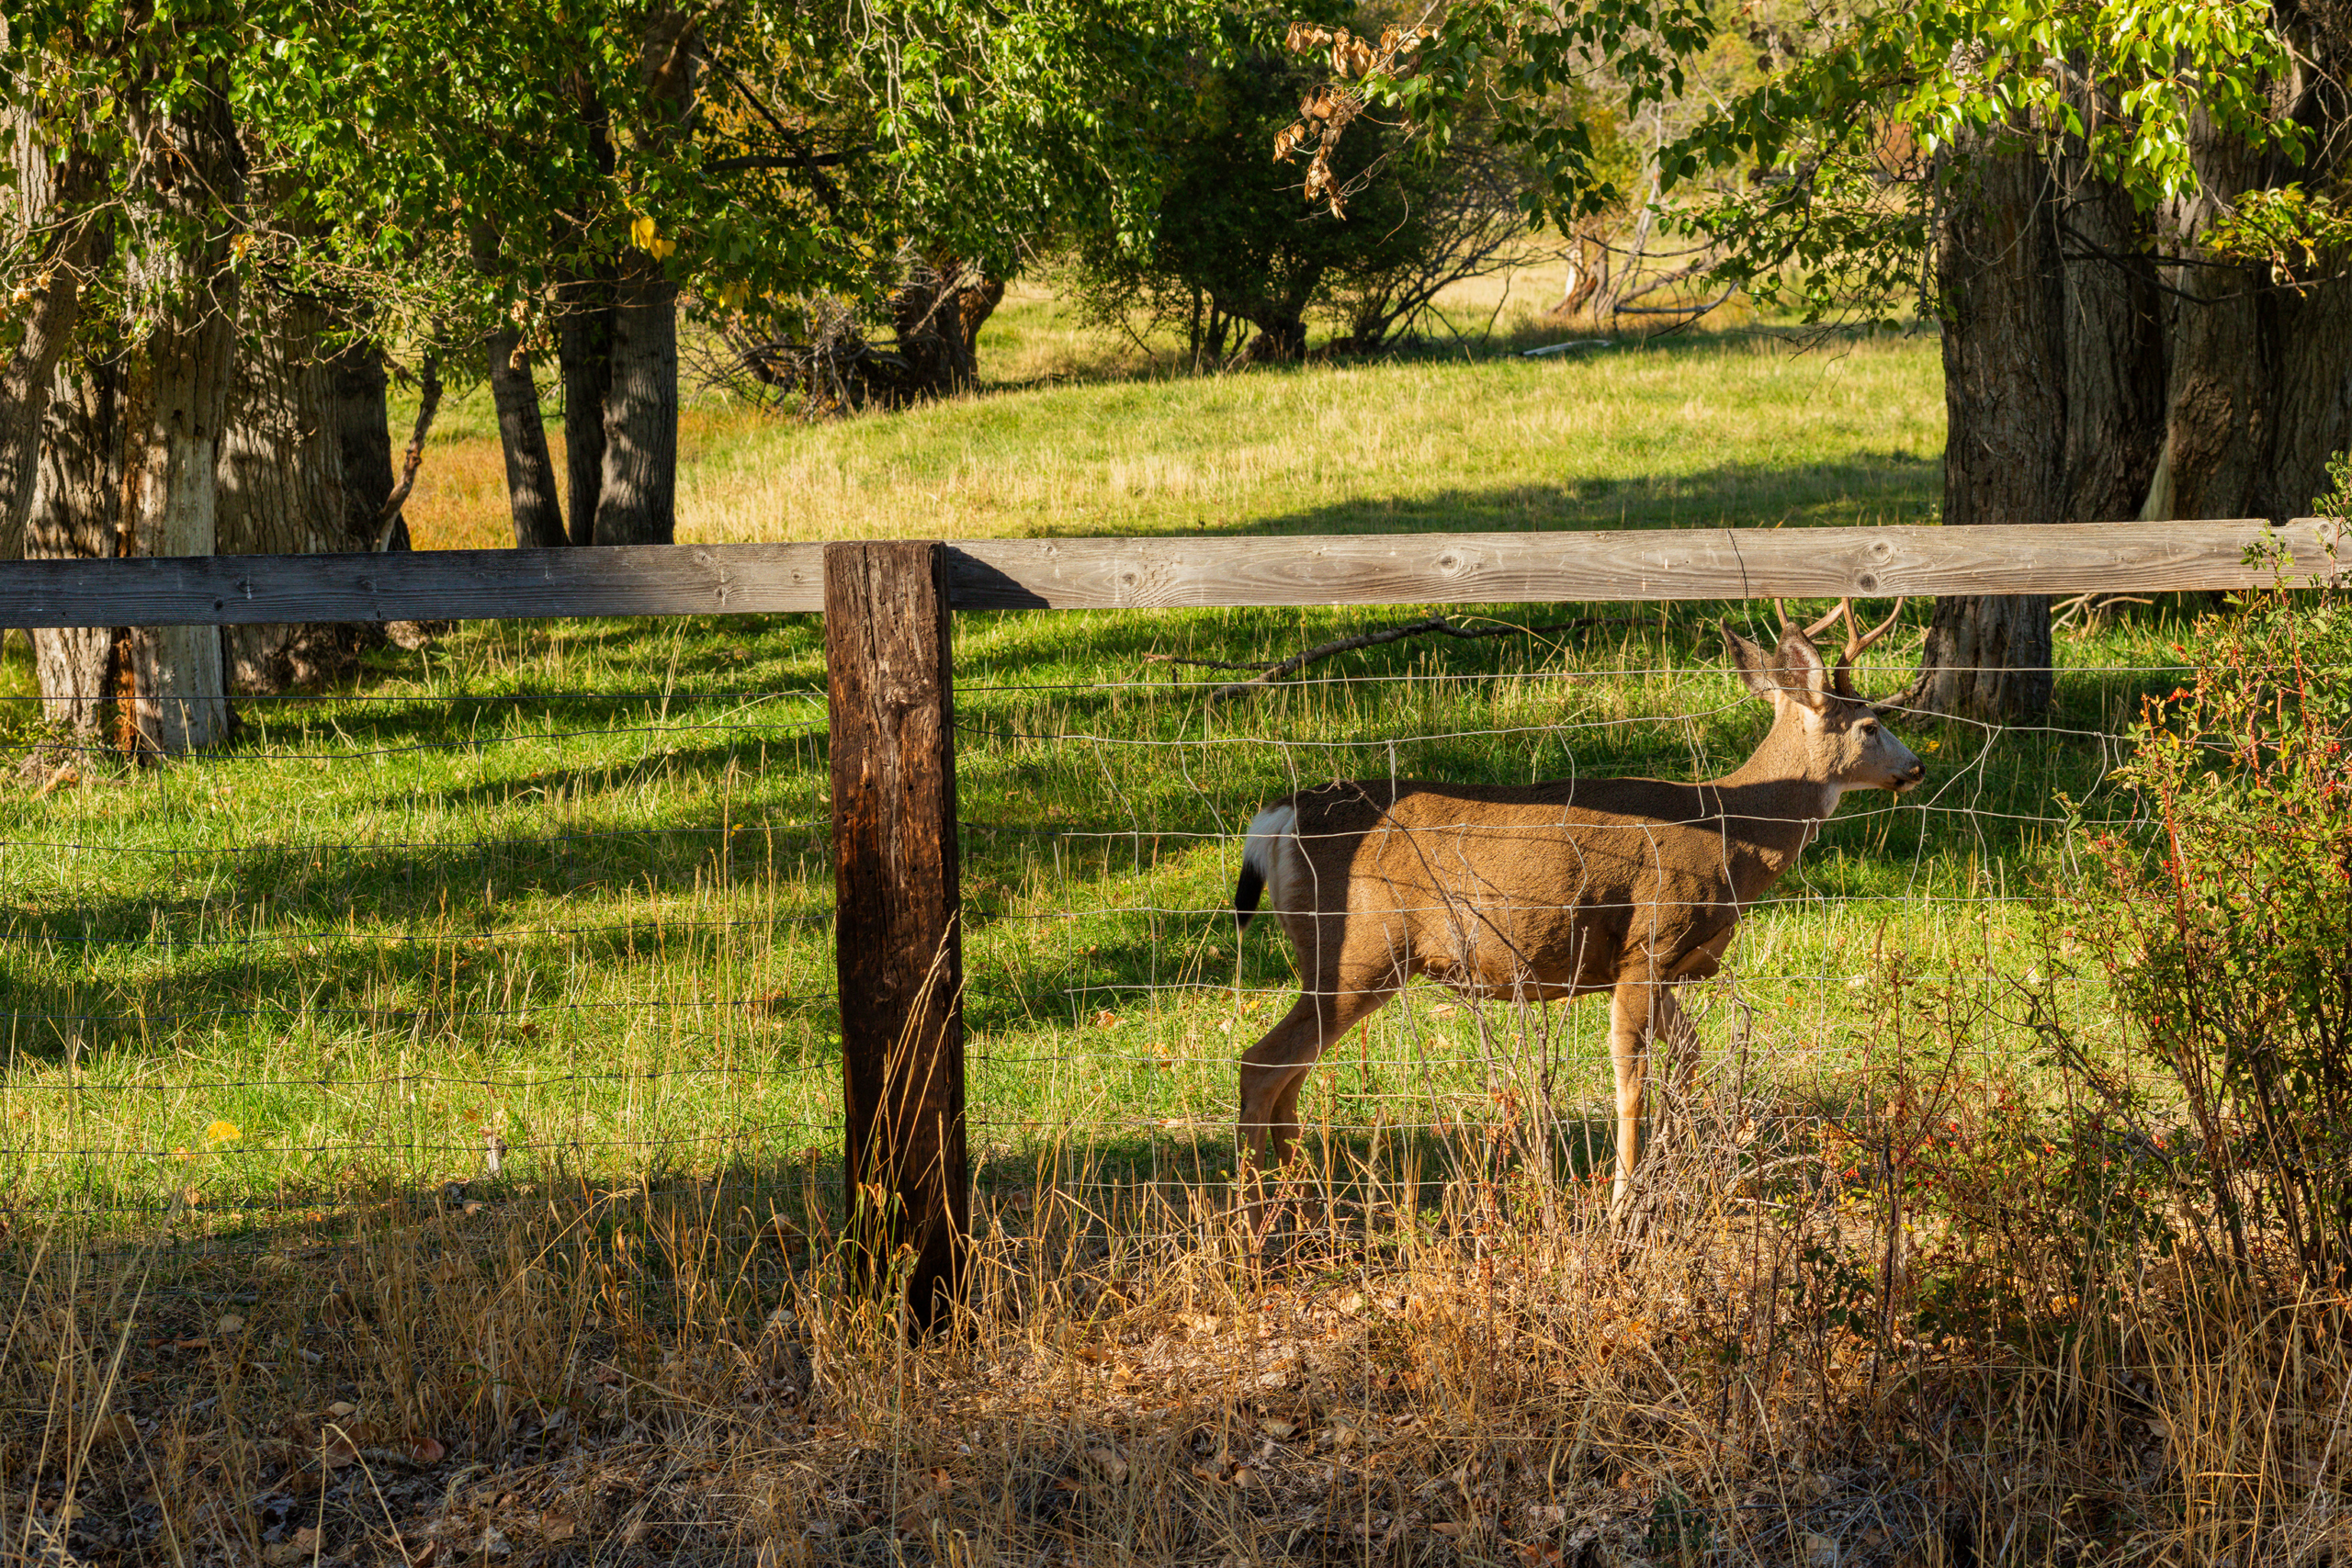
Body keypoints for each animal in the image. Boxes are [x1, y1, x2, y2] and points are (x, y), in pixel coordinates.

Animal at [1229, 599, 1923, 1218]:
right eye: (1870, 725)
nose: (1916, 766)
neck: (1738, 833)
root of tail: (1282, 815)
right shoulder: (1648, 943)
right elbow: (1631, 1083)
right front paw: (1623, 1205)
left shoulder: (1660, 965)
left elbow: (1688, 1056)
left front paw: (1676, 1169)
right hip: (1360, 949)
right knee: (1261, 1063)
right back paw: (1251, 1220)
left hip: (1343, 958)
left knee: (1290, 1075)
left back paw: (1308, 1205)